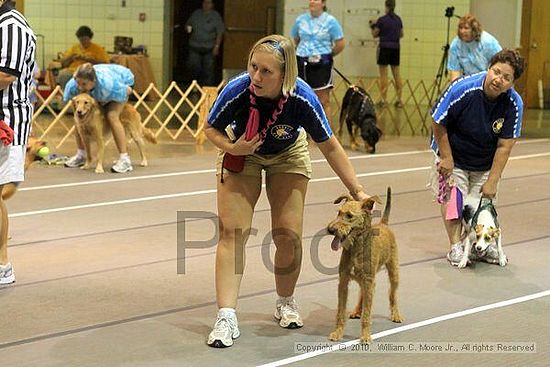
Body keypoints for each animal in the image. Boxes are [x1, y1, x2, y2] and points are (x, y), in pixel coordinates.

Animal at [328, 188, 406, 344]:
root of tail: (384, 224)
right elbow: (340, 311)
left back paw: (395, 314)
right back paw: (357, 311)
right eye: (338, 212)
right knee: (362, 294)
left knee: (392, 294)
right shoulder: (343, 282)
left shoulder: (369, 282)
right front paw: (337, 333)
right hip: (363, 280)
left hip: (393, 272)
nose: (331, 229)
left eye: (349, 215)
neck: (356, 247)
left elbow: (367, 314)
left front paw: (365, 336)